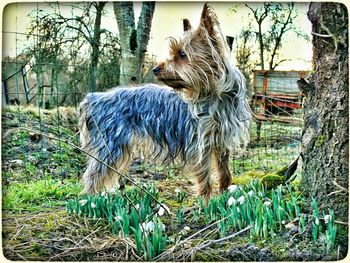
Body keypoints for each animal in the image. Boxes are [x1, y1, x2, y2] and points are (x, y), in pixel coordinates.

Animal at [78, 3, 250, 199]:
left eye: (182, 54)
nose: (155, 69)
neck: (214, 94)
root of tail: (93, 98)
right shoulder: (199, 142)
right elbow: (204, 177)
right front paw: (206, 203)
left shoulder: (220, 138)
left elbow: (224, 171)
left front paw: (224, 196)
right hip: (110, 144)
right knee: (93, 176)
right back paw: (88, 201)